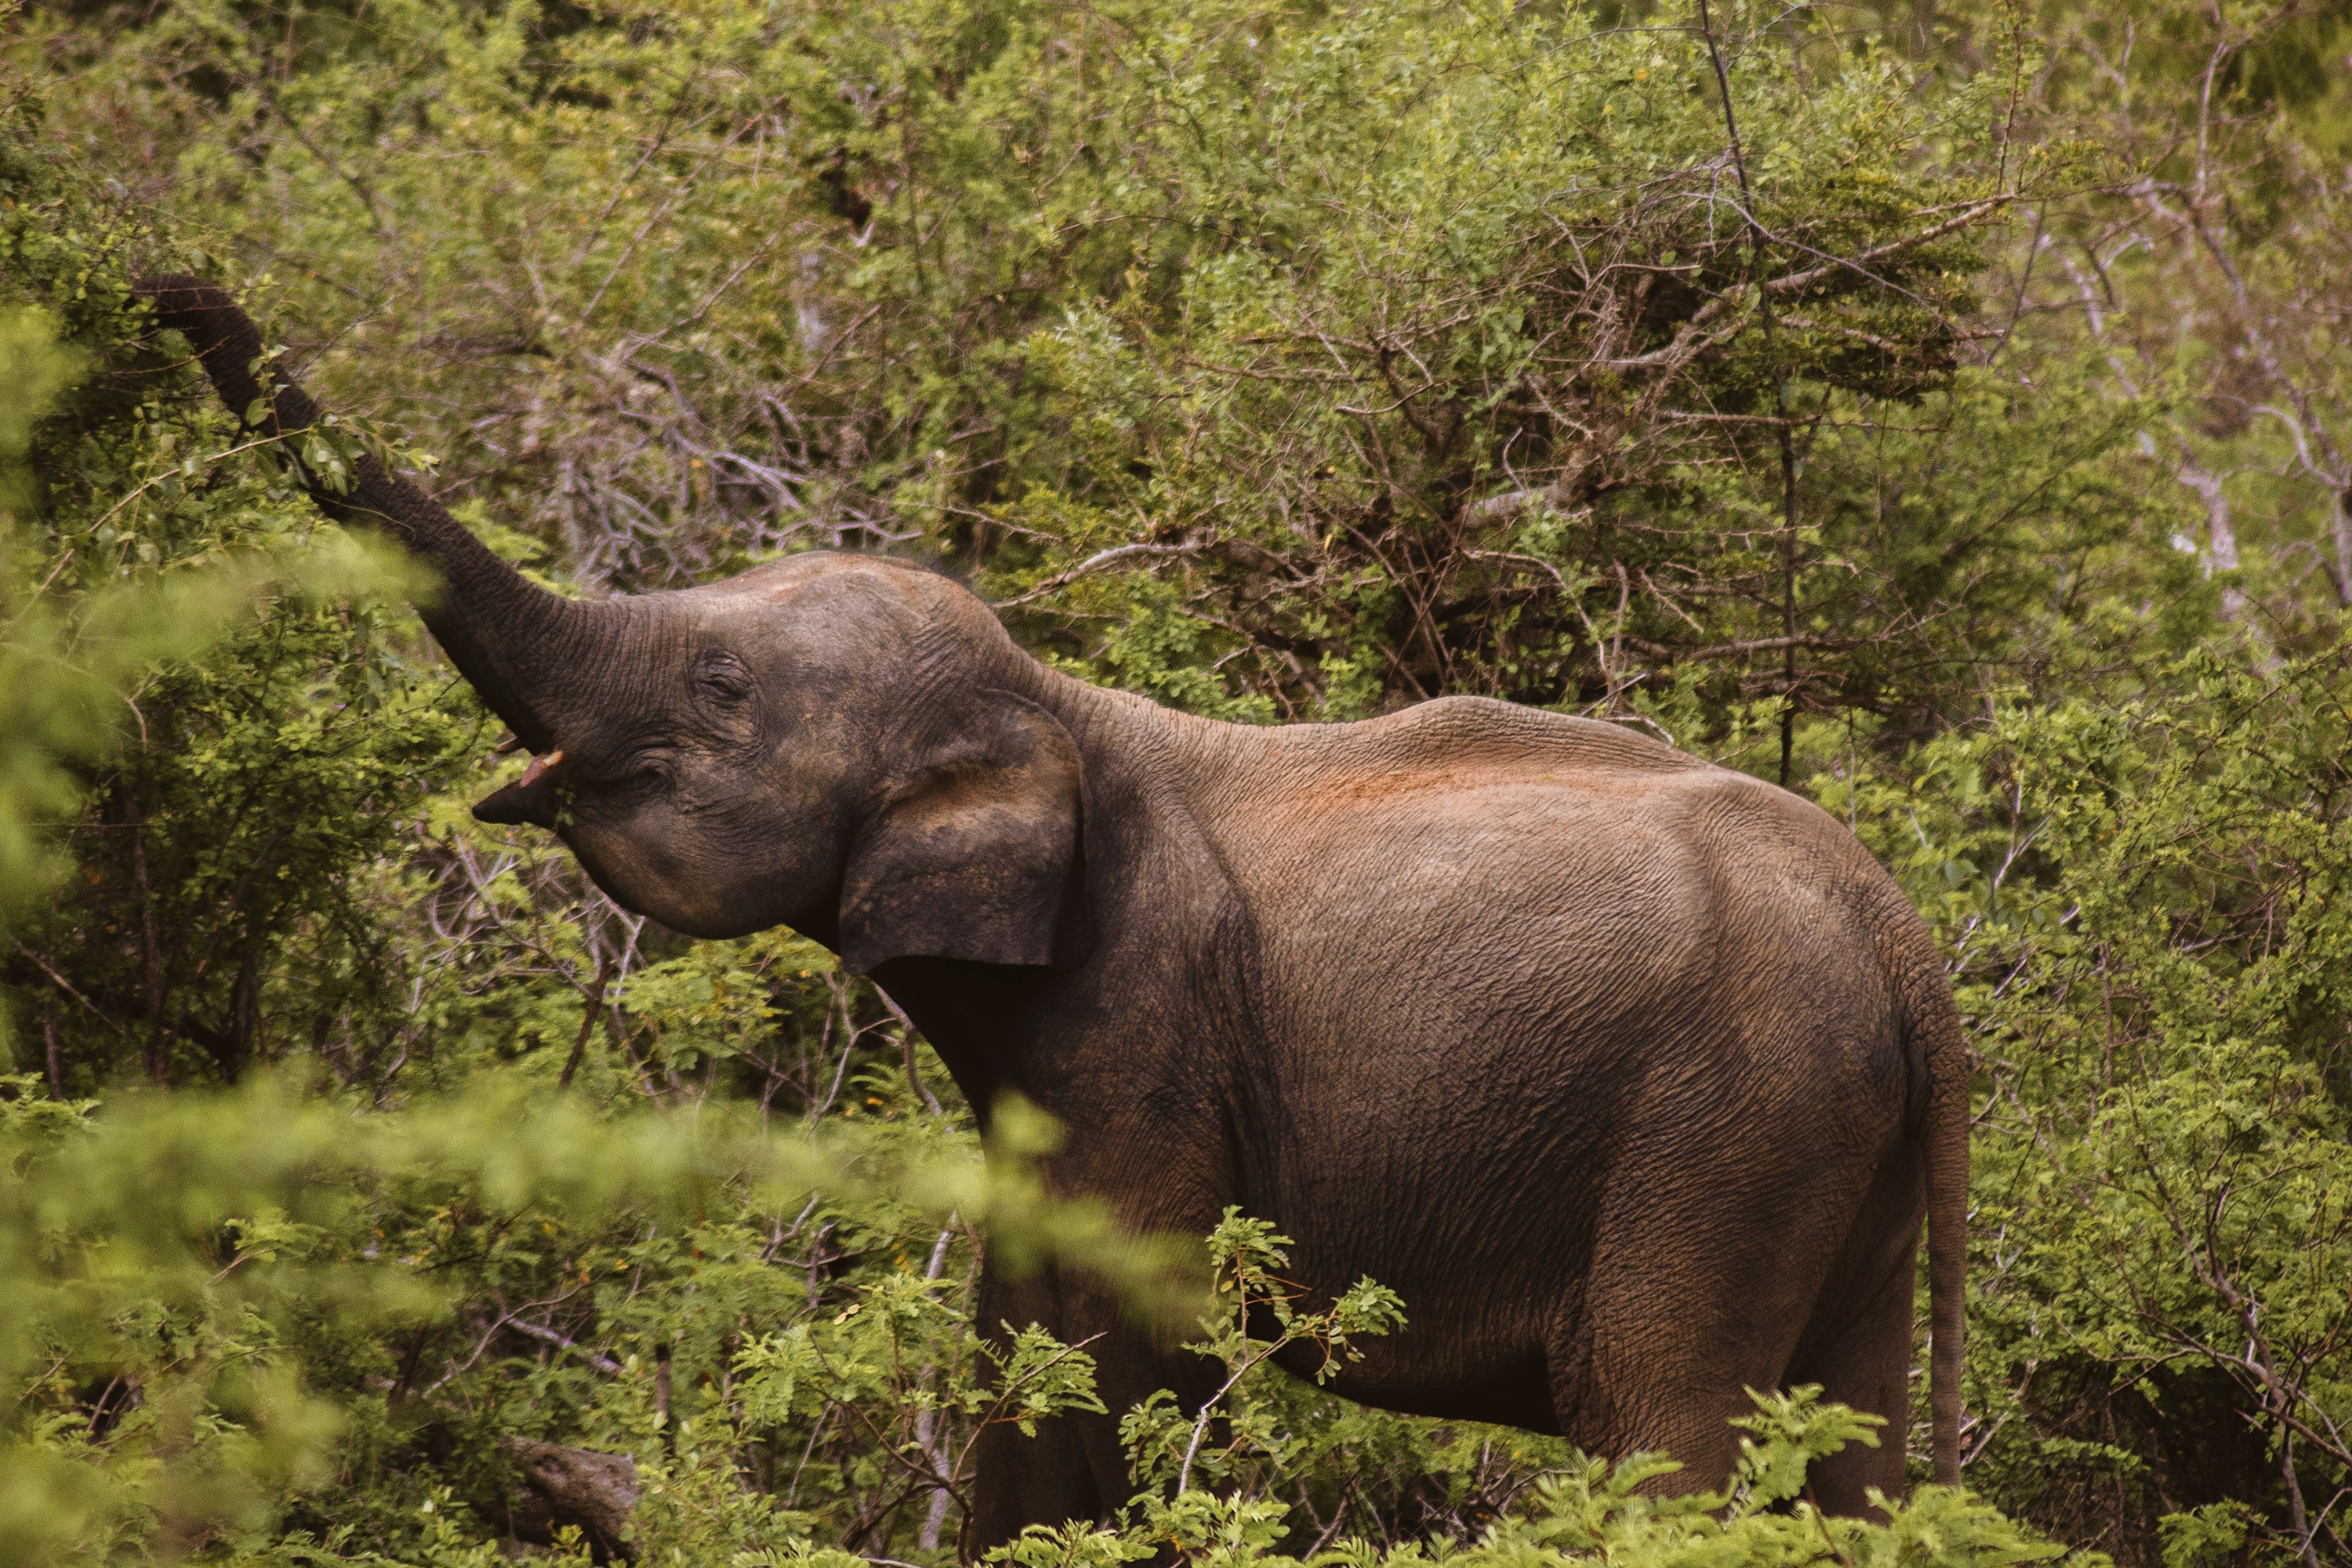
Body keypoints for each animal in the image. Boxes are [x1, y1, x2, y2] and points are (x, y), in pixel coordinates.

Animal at [133, 278, 1966, 1542]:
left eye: (721, 685)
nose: (157, 278)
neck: (1060, 700)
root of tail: (1902, 941)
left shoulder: (1143, 1013)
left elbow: (1104, 1333)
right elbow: (1024, 1323)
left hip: (1720, 1122)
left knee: (1670, 1419)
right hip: (1828, 1135)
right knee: (1853, 1440)